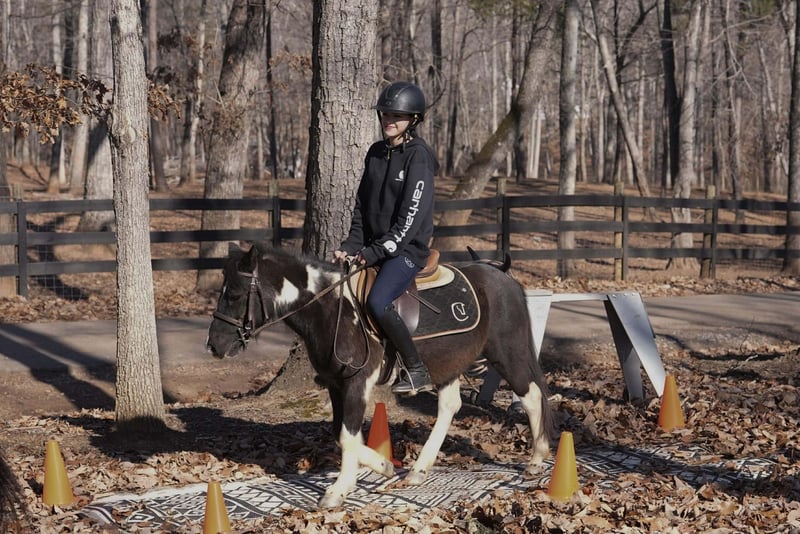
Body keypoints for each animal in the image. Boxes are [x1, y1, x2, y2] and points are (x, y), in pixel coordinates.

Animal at [206, 242, 553, 508]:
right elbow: (342, 433)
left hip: (506, 353)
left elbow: (347, 436)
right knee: (449, 407)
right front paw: (385, 465)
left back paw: (537, 460)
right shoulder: (335, 384)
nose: (214, 346)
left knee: (531, 395)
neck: (332, 308)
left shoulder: (356, 384)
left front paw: (338, 490)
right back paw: (418, 469)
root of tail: (502, 276)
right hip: (448, 362)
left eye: (234, 294)